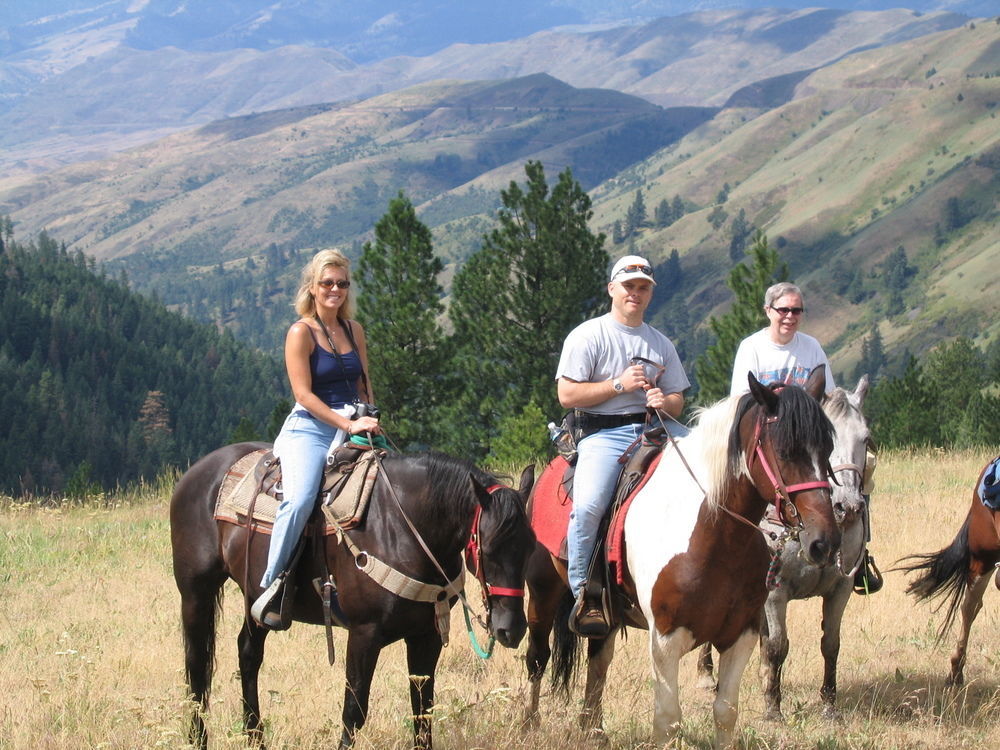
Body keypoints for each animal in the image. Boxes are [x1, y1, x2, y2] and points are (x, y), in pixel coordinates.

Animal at [168, 444, 536, 748]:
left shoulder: (426, 636)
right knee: (197, 665)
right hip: (195, 594)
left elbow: (423, 712)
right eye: (488, 549)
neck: (404, 529)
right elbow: (354, 712)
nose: (512, 629)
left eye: (530, 547)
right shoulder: (364, 634)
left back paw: (255, 738)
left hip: (256, 601)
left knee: (247, 653)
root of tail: (198, 472)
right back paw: (198, 739)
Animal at [528, 372, 840, 750]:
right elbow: (668, 719)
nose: (825, 542)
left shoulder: (742, 635)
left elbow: (725, 712)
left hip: (605, 615)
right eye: (785, 451)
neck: (714, 533)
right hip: (541, 593)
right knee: (537, 658)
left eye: (827, 450)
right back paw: (530, 723)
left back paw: (593, 730)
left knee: (597, 662)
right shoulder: (665, 638)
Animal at [700, 378, 872, 720]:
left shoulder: (841, 588)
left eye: (866, 438)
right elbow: (777, 646)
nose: (848, 506)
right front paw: (772, 708)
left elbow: (830, 643)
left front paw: (829, 705)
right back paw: (706, 675)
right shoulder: (775, 592)